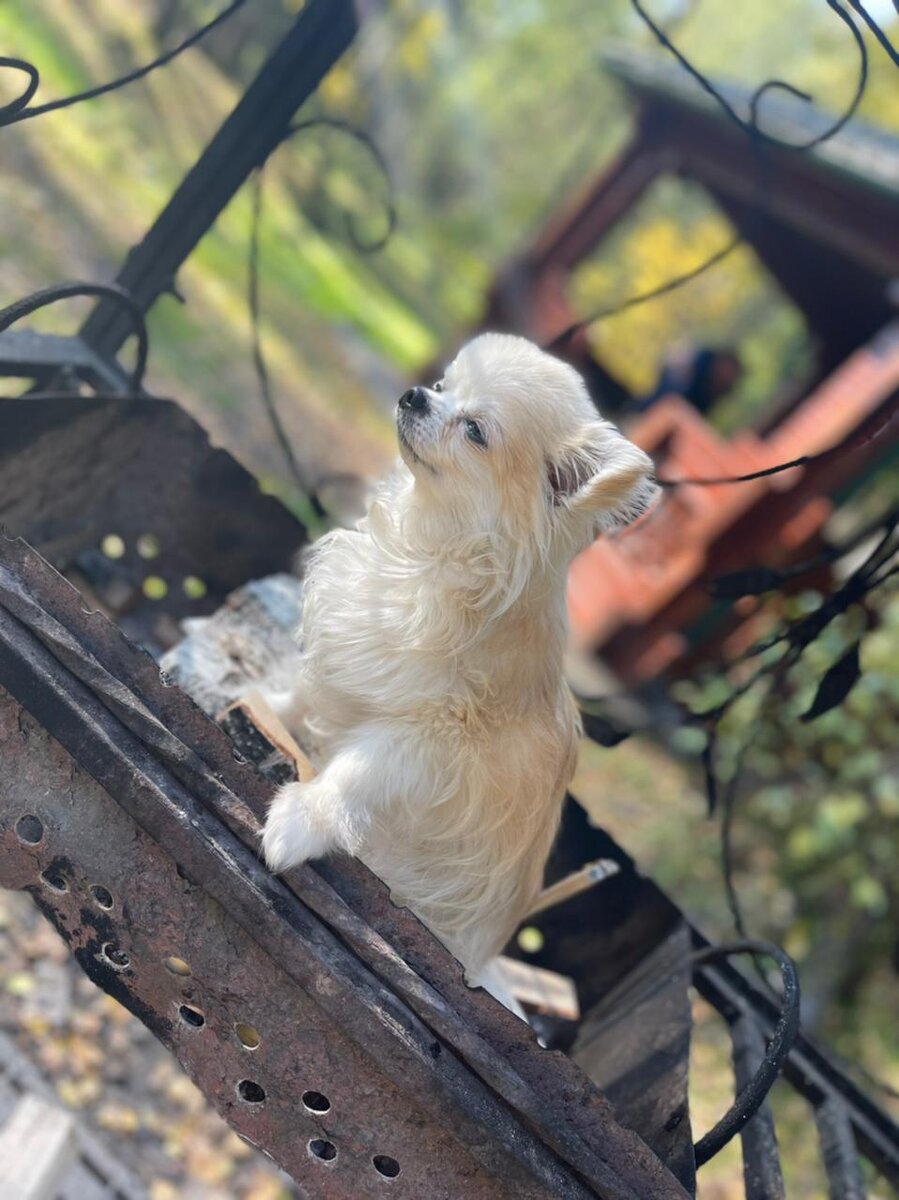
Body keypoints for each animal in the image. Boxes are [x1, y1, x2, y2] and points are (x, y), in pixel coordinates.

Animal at [262, 333, 657, 1008]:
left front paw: (299, 819)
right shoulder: (354, 657)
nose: (415, 394)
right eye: (445, 387)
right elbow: (299, 697)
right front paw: (251, 704)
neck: (425, 550)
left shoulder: (421, 744)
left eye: (473, 430)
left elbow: (352, 781)